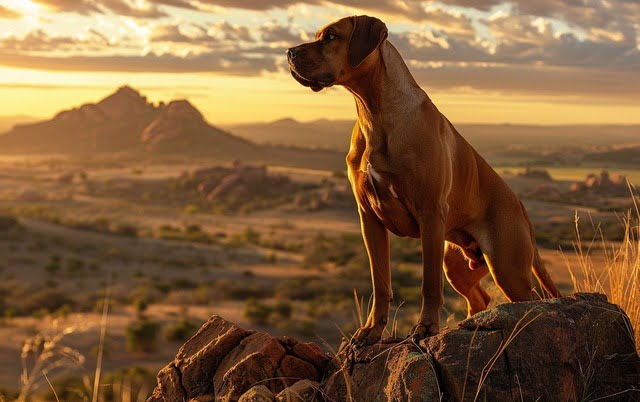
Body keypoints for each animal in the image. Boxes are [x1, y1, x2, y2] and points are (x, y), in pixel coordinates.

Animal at [284, 15, 560, 346]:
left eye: (330, 37)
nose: (289, 52)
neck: (374, 113)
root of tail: (520, 205)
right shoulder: (369, 218)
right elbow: (380, 283)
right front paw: (372, 330)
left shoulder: (429, 214)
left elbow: (429, 284)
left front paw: (426, 327)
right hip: (458, 263)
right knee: (480, 298)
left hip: (507, 268)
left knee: (529, 300)